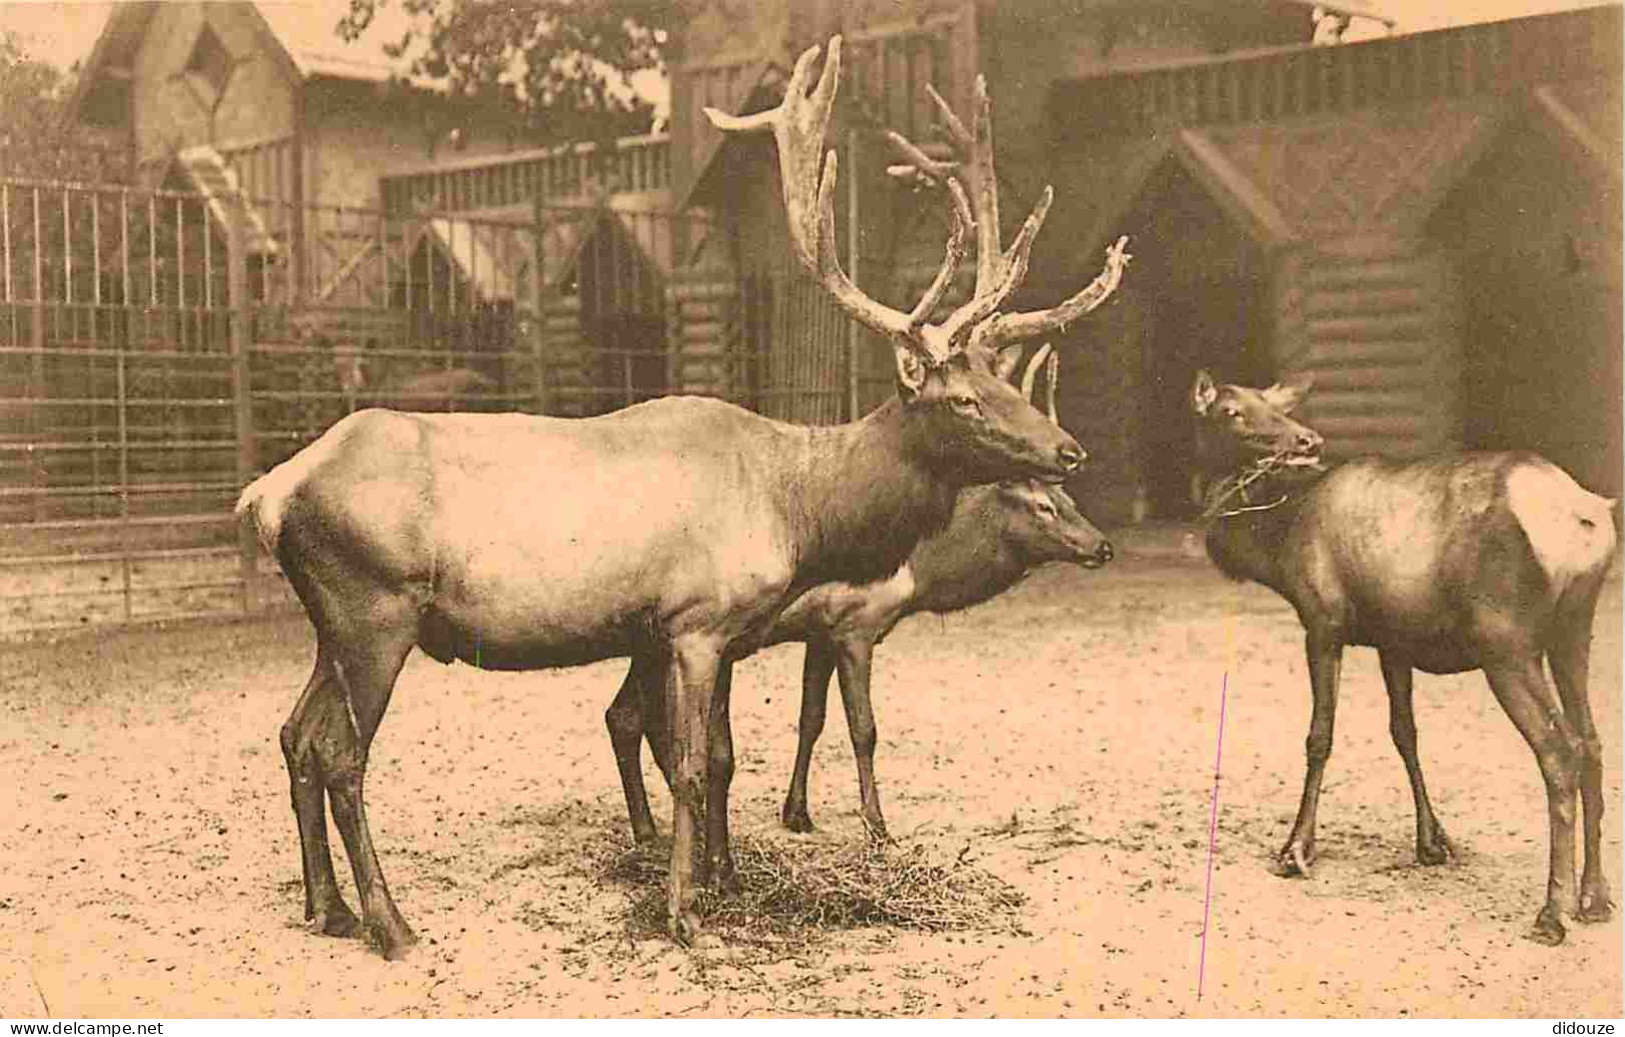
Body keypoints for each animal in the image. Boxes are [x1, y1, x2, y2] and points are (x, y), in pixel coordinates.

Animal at [611, 344, 1118, 851]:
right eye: (1044, 507)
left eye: (1072, 503)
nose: (1102, 547)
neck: (919, 573)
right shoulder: (854, 626)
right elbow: (862, 727)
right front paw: (876, 826)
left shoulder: (818, 632)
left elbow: (811, 719)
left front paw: (797, 812)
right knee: (634, 718)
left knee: (624, 716)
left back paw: (650, 829)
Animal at [1189, 370, 1618, 949]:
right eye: (1234, 410)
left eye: (1273, 405)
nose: (1306, 440)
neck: (1276, 546)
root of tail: (1587, 518)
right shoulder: (1394, 641)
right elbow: (1405, 732)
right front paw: (1433, 841)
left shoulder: (1322, 622)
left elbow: (1319, 737)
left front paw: (1296, 849)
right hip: (1572, 630)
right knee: (1592, 743)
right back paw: (1595, 897)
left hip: (1507, 643)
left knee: (1559, 750)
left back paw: (1553, 911)